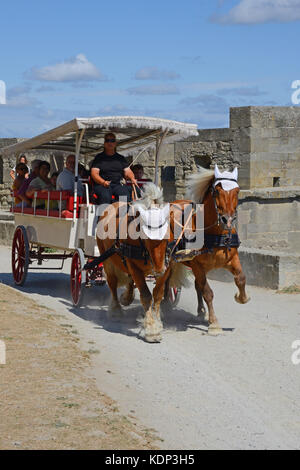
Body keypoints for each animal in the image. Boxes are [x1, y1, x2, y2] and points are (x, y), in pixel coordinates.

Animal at [96, 183, 171, 342]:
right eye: (147, 238)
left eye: (167, 236)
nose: (159, 270)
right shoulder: (134, 265)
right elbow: (146, 296)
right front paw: (151, 330)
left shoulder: (166, 267)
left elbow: (158, 295)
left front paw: (157, 321)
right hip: (107, 260)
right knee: (112, 283)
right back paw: (116, 310)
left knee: (130, 280)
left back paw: (126, 297)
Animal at [168, 165, 250, 334]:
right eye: (217, 191)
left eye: (237, 191)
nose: (227, 220)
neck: (214, 234)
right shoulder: (197, 265)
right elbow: (208, 292)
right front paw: (214, 323)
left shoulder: (232, 259)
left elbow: (241, 278)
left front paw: (241, 297)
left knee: (197, 285)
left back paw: (200, 310)